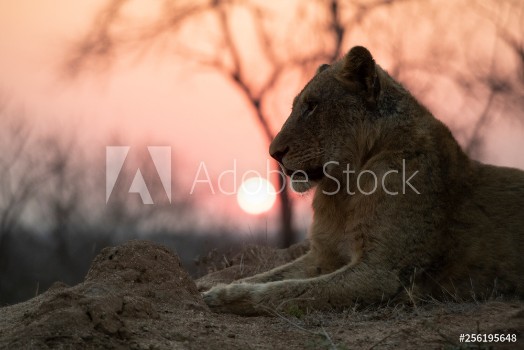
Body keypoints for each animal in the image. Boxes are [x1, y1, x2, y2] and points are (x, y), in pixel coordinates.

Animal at [201, 45, 524, 316]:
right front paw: (212, 285)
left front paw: (224, 297)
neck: (346, 188)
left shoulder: (381, 272)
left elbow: (289, 291)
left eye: (312, 106)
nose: (274, 153)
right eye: (297, 106)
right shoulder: (324, 254)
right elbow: (273, 276)